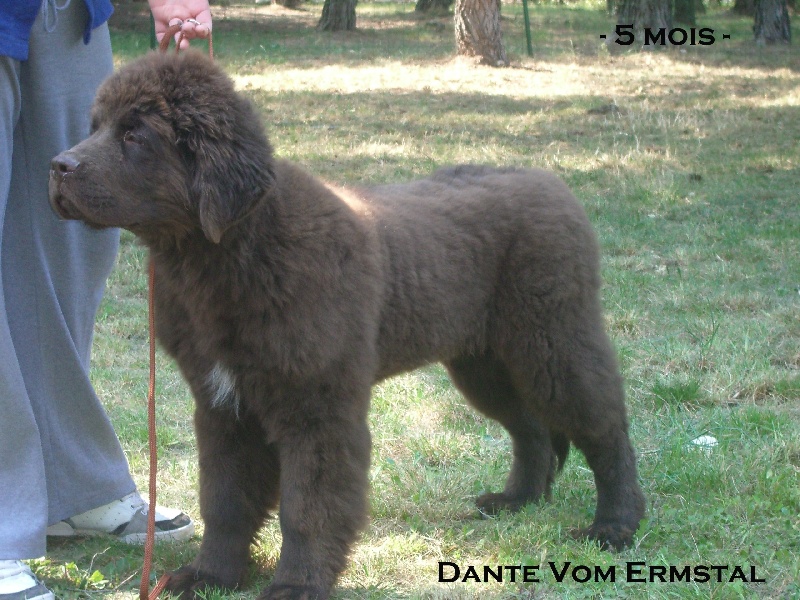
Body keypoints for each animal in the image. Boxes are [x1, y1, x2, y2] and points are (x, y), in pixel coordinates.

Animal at [49, 50, 645, 599]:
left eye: (136, 134)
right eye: (95, 126)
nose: (57, 166)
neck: (234, 254)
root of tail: (552, 183)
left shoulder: (317, 404)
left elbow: (309, 505)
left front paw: (296, 586)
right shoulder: (222, 404)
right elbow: (224, 499)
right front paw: (209, 576)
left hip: (554, 341)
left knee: (605, 427)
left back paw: (615, 526)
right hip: (483, 361)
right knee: (530, 427)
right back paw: (517, 500)